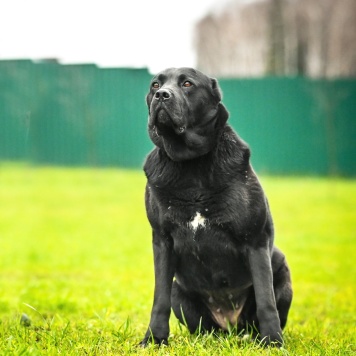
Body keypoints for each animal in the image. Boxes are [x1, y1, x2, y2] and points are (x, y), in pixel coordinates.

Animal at [139, 67, 292, 348]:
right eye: (155, 84)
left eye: (187, 84)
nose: (161, 95)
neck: (191, 163)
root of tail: (230, 324)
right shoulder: (162, 241)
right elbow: (159, 298)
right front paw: (154, 339)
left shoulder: (256, 240)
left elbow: (266, 300)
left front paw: (273, 343)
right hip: (180, 291)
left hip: (281, 267)